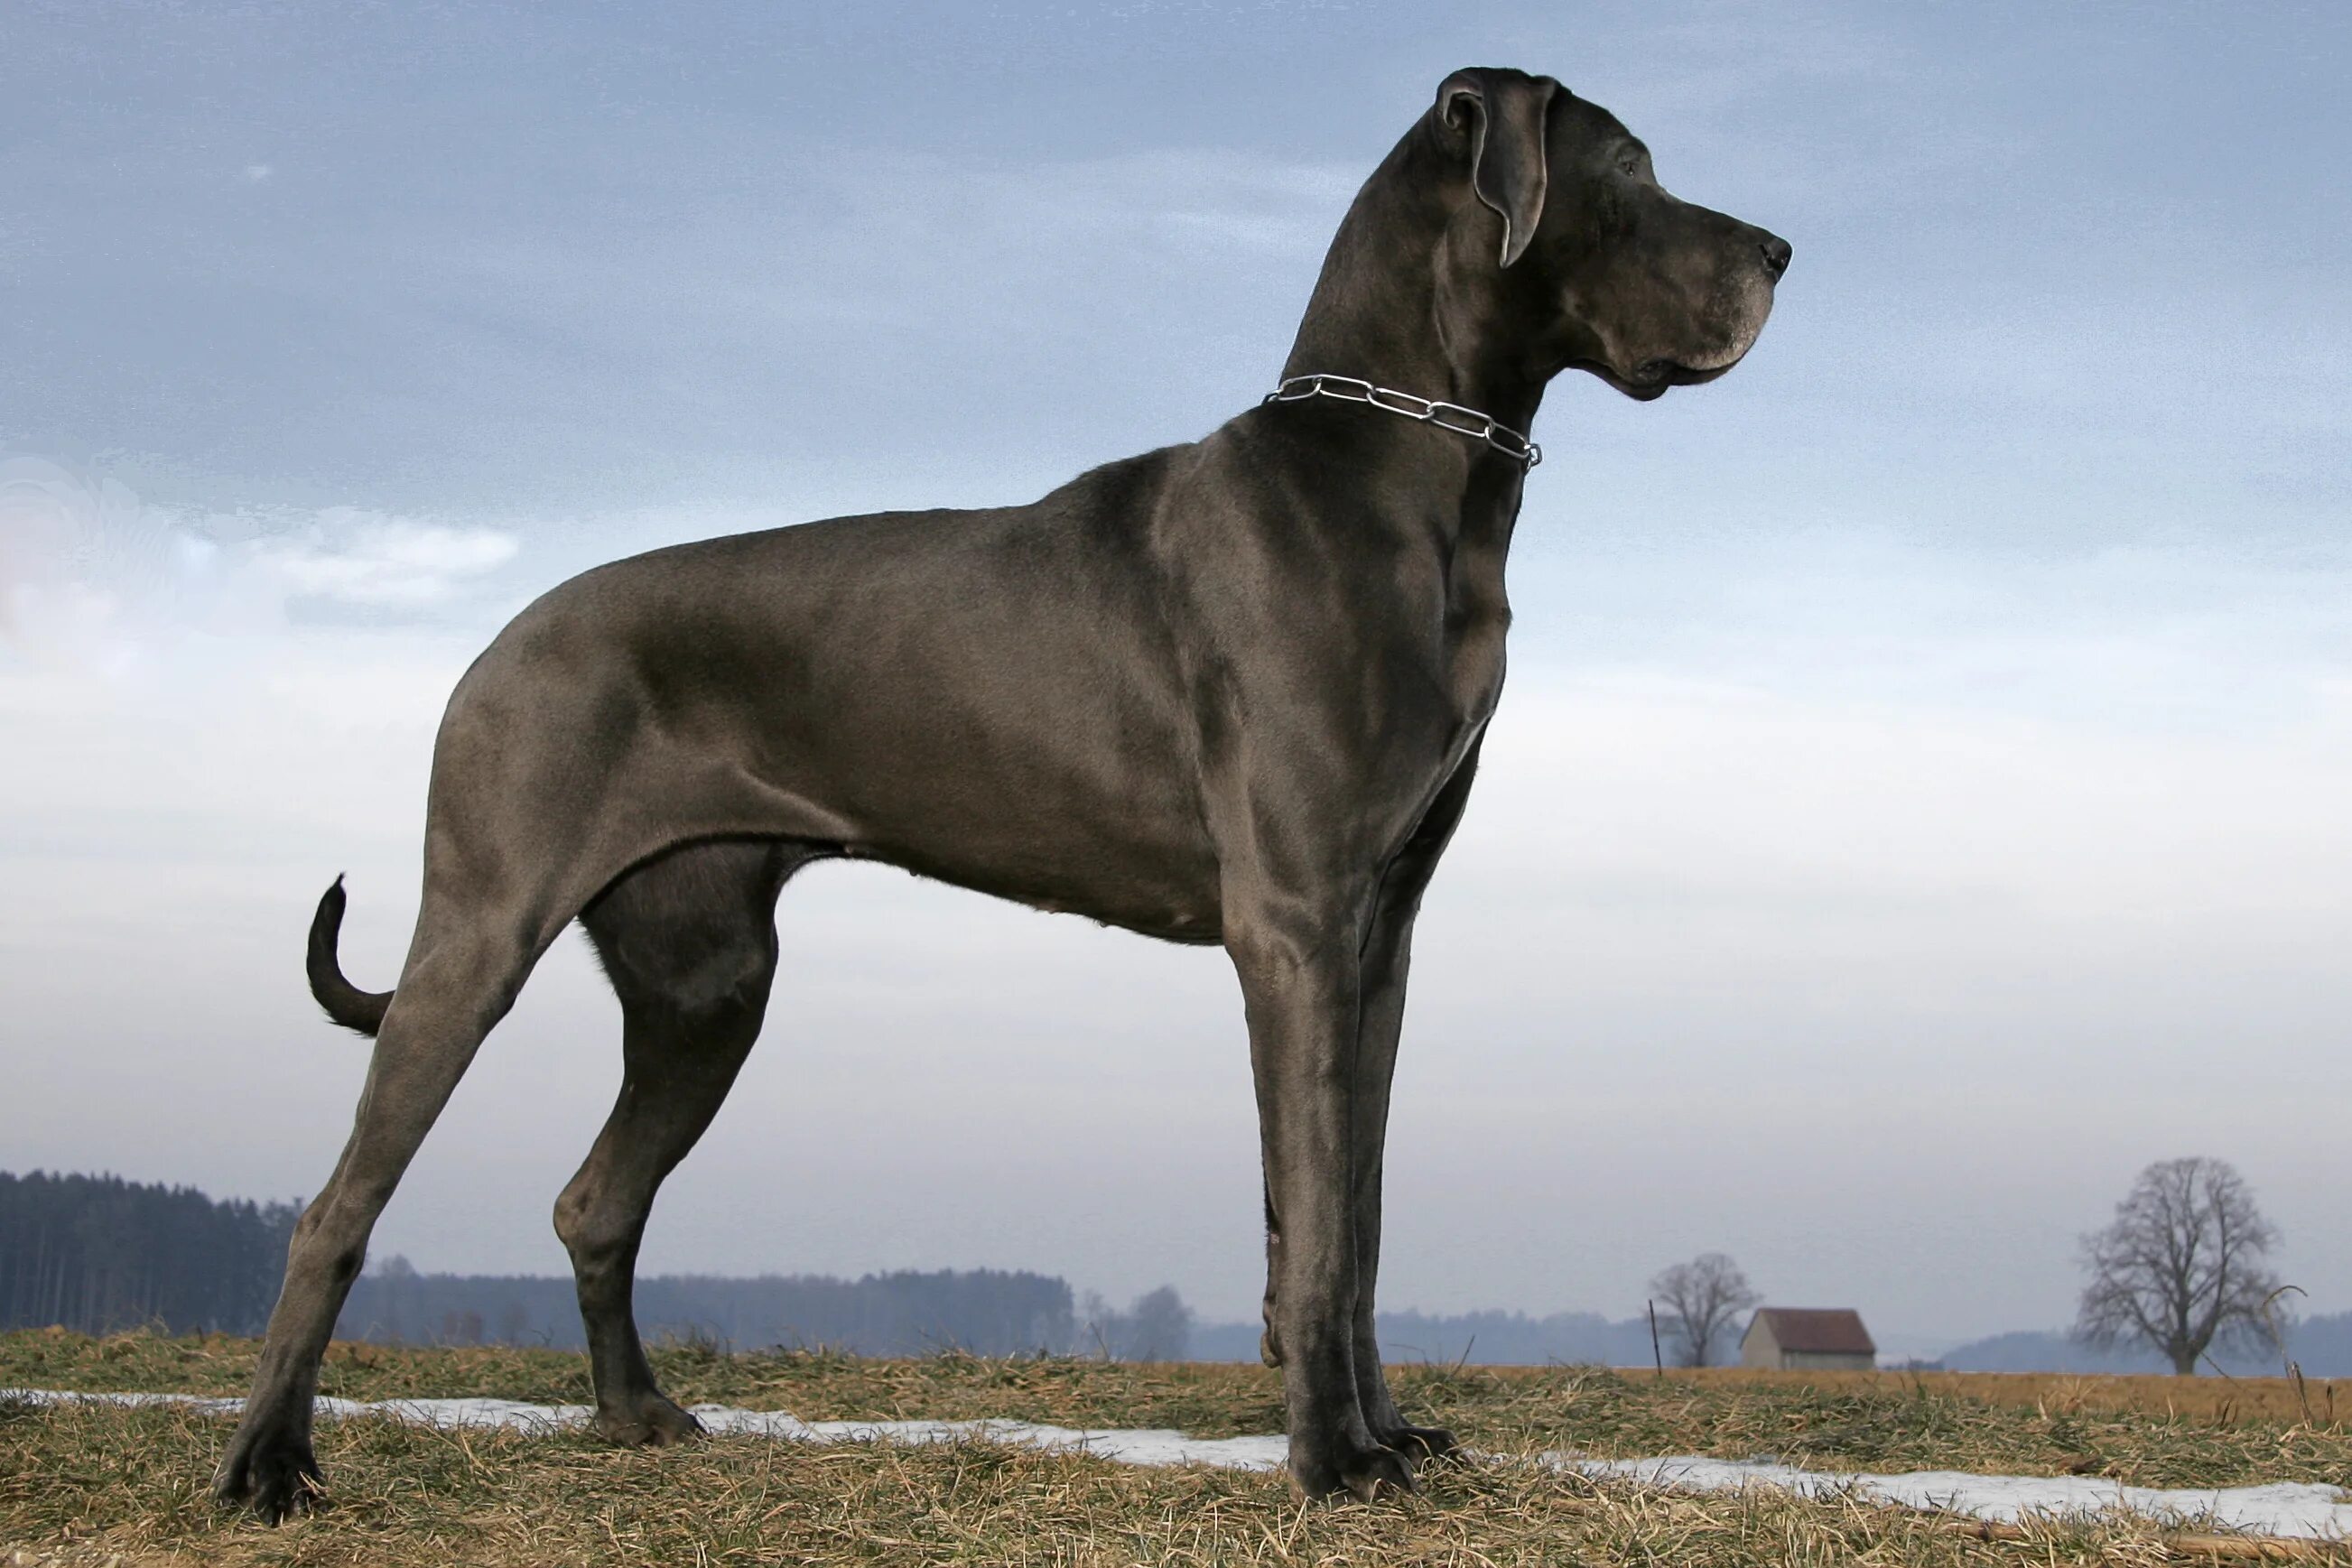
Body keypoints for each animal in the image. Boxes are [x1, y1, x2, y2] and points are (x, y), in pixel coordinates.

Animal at [216, 64, 1778, 1523]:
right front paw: (1334, 1461)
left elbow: (1358, 1213)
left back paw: (636, 1417)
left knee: (595, 1200)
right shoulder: (1294, 921)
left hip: (708, 982)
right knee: (333, 1209)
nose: (1780, 250)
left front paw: (1384, 1435)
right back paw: (268, 1463)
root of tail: (498, 641)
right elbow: (1326, 1227)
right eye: (1628, 167)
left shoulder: (1377, 938)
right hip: (480, 935)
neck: (1401, 471)